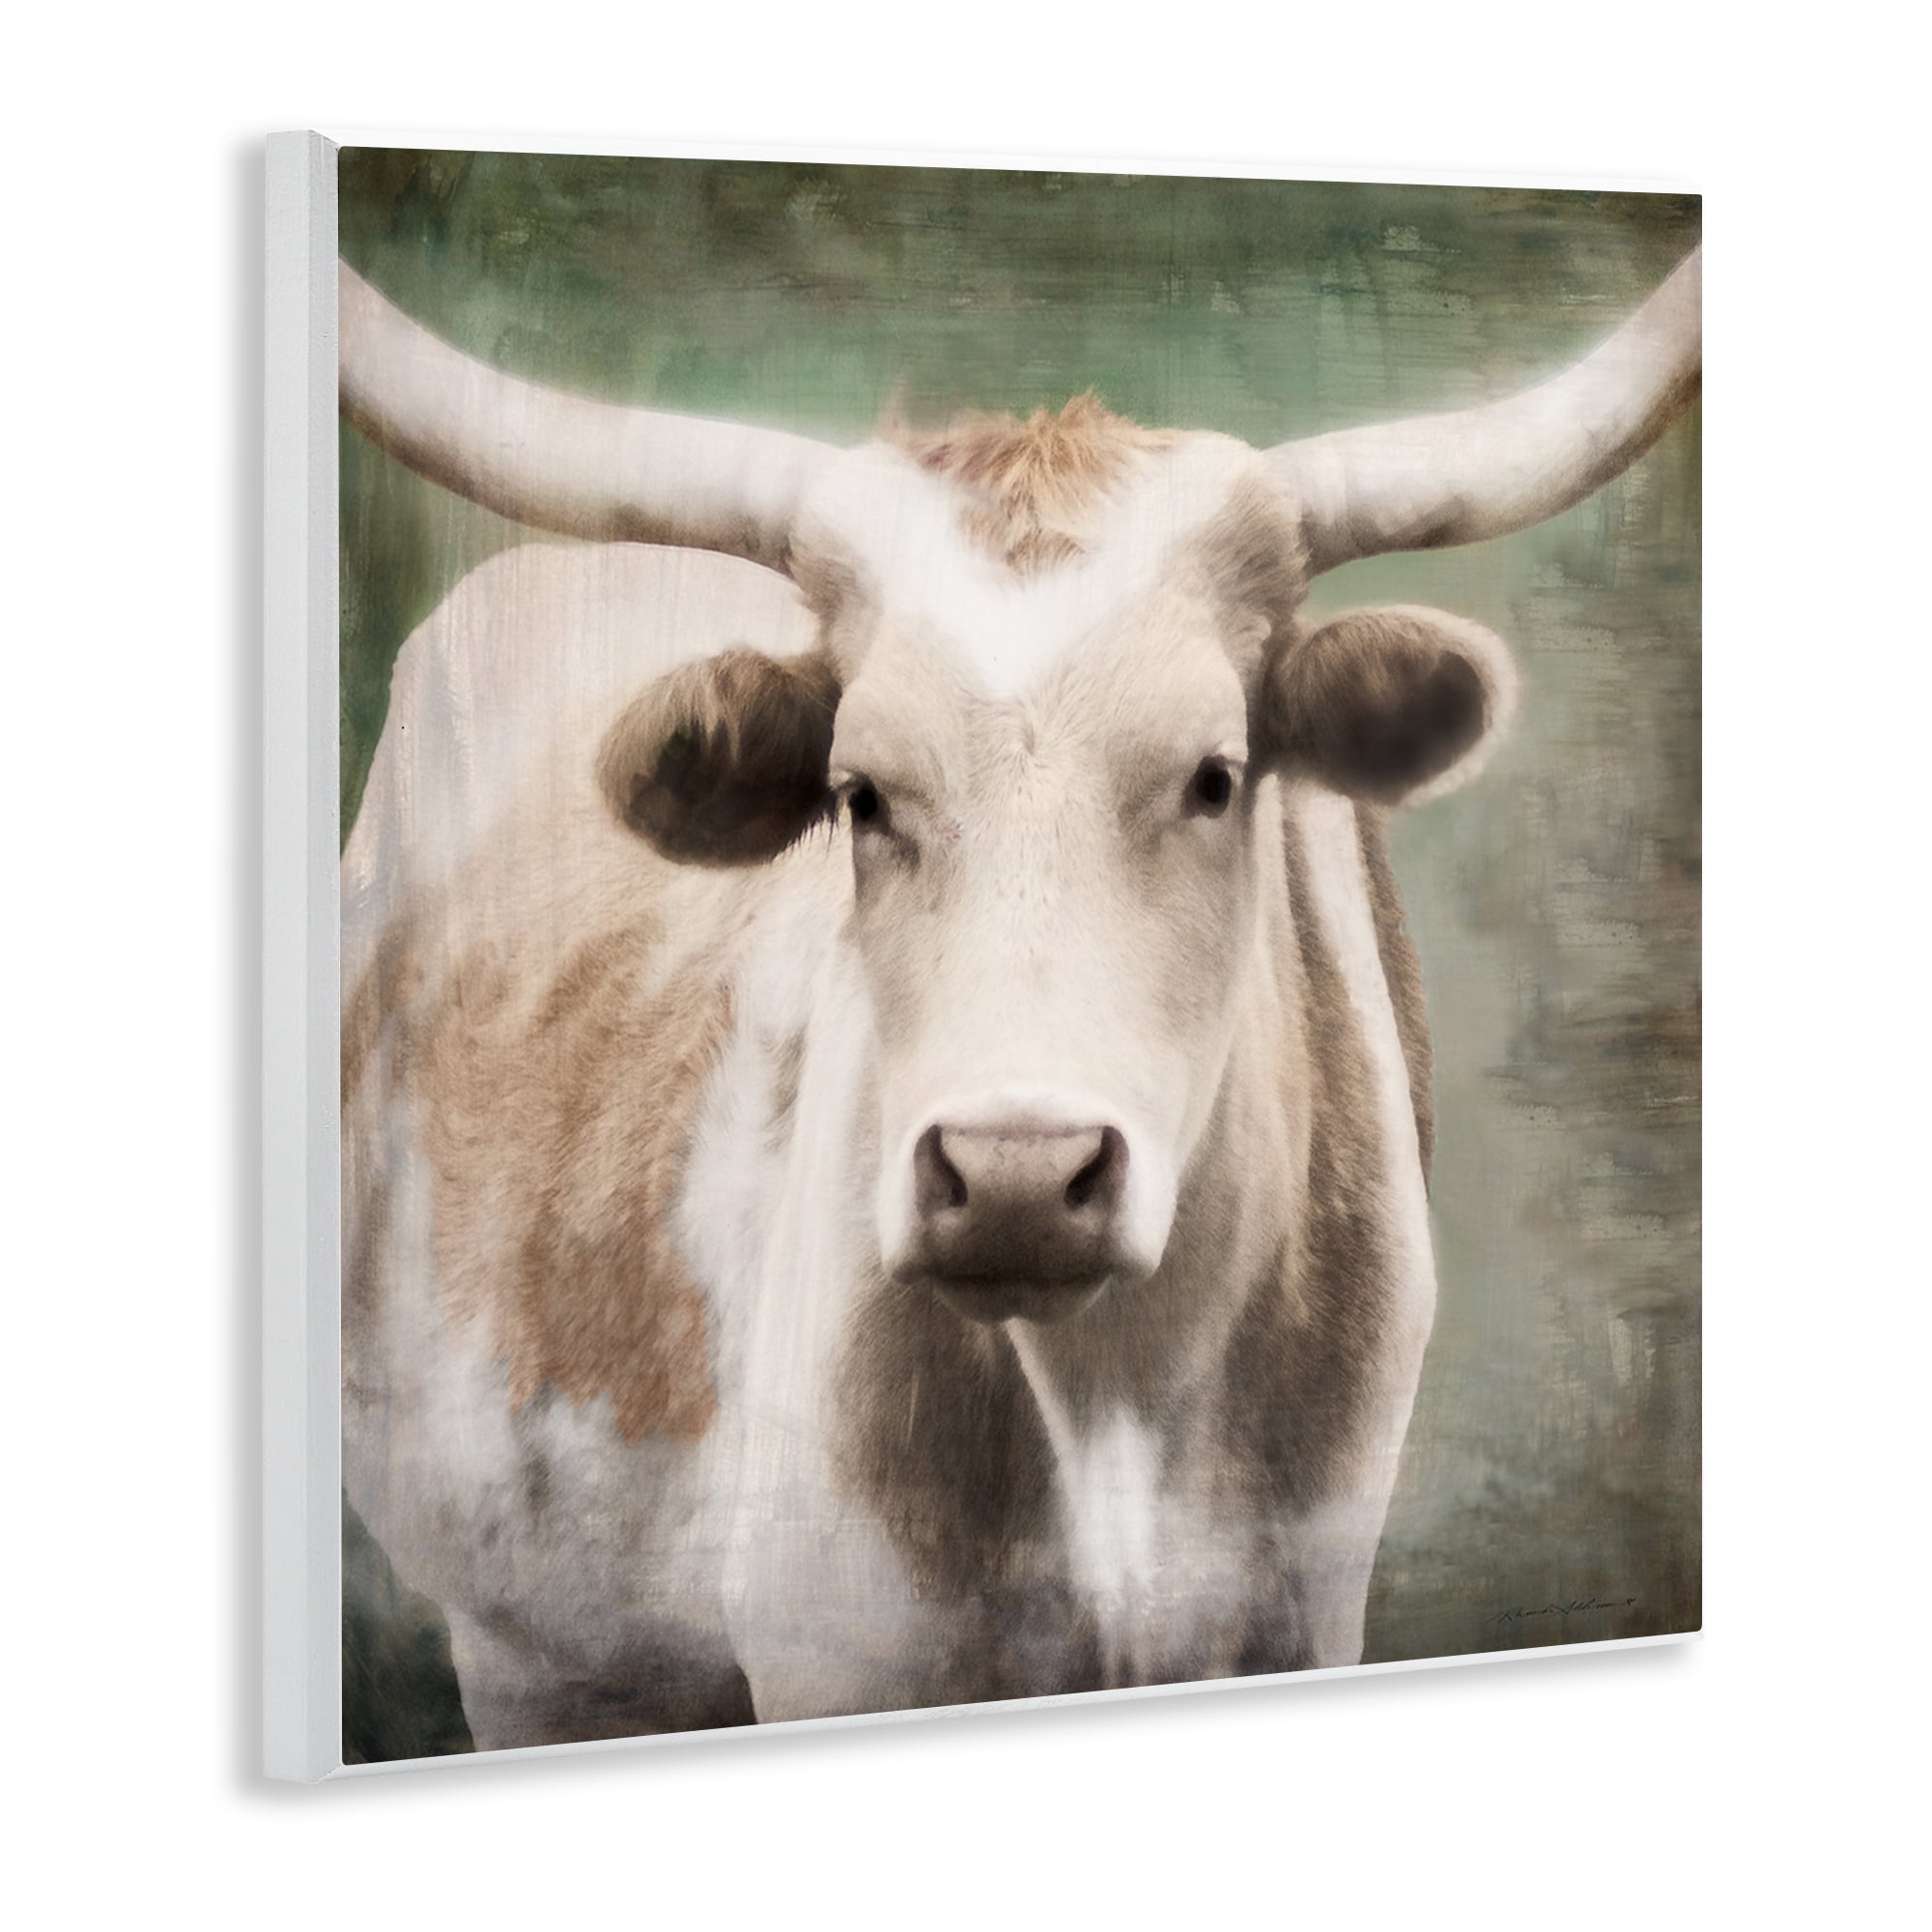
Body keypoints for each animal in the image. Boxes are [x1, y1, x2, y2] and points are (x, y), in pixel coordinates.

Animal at [337, 244, 1701, 1752]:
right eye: (857, 793)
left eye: (1216, 775)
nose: (1014, 1177)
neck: (1114, 1408)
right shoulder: (841, 1643)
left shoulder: (1300, 1608)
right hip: (529, 1641)